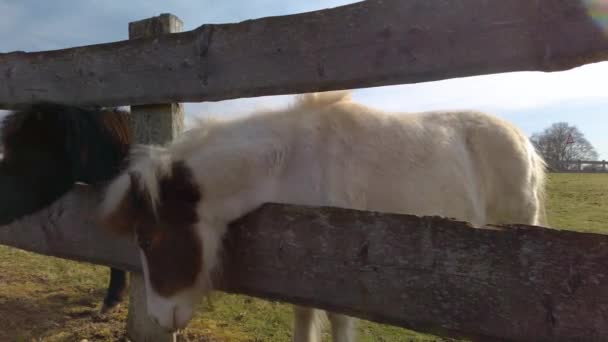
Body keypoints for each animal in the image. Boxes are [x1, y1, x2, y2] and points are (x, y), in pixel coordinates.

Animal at [100, 89, 548, 340]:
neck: (290, 162)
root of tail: (524, 141)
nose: (159, 318)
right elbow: (304, 318)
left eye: (146, 239)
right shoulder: (305, 276)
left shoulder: (340, 273)